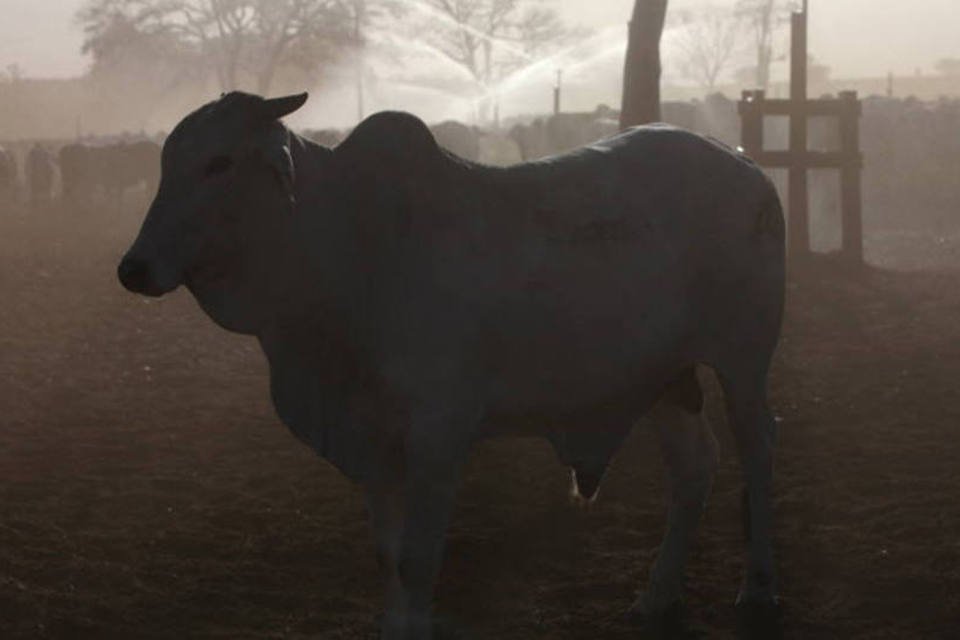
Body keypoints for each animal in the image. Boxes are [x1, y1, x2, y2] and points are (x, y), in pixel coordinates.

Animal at [118, 92, 788, 636]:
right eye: (166, 163)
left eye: (219, 163)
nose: (134, 268)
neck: (346, 248)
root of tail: (746, 166)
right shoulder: (373, 441)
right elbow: (388, 557)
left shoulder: (440, 435)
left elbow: (418, 562)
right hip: (663, 378)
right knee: (695, 467)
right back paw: (656, 597)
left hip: (744, 360)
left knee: (758, 451)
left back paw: (757, 586)